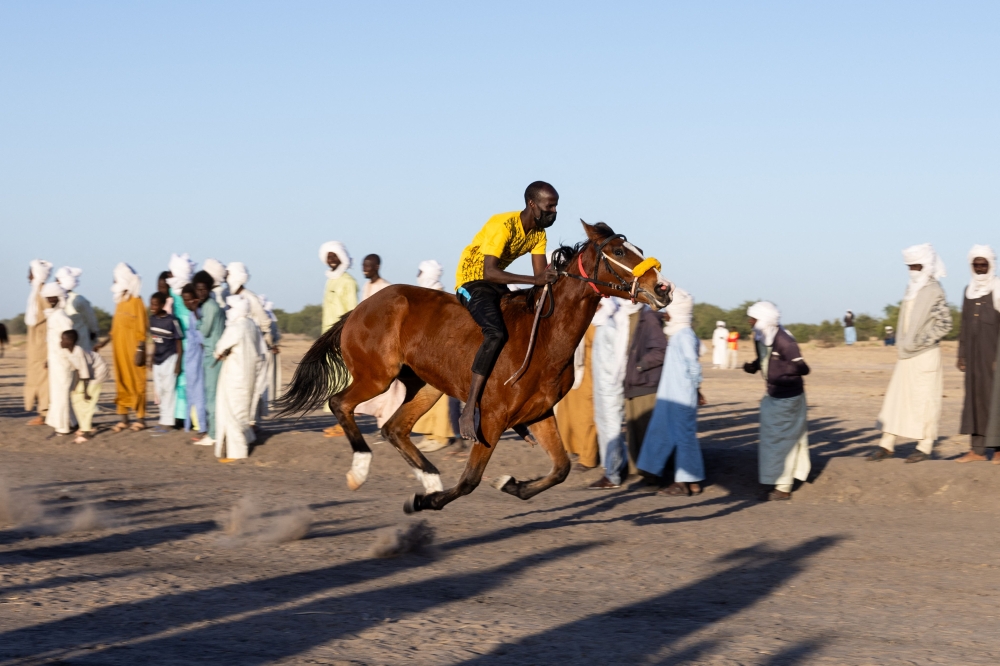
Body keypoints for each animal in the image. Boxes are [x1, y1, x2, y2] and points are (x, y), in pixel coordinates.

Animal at [274, 221, 672, 513]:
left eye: (635, 248)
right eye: (618, 251)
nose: (663, 288)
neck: (544, 336)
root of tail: (359, 309)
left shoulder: (539, 413)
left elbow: (561, 468)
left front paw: (513, 484)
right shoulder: (492, 417)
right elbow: (470, 480)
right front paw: (427, 501)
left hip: (427, 385)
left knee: (394, 428)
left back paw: (430, 477)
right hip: (377, 376)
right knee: (340, 403)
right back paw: (361, 468)